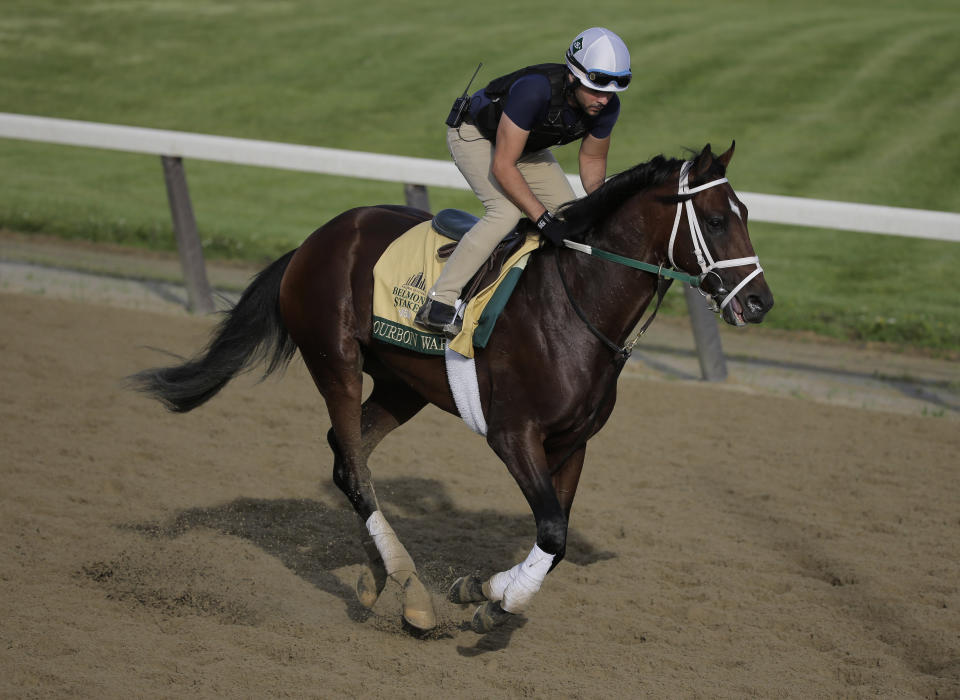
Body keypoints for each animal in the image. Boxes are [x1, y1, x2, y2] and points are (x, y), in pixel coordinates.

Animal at [129, 142, 772, 636]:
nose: (761, 302)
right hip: (335, 361)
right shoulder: (513, 435)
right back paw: (411, 594)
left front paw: (487, 592)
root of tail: (315, 240)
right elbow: (552, 531)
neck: (576, 306)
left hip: (402, 386)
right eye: (717, 219)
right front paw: (492, 598)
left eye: (745, 212)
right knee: (353, 465)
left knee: (347, 458)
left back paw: (384, 575)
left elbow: (556, 539)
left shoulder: (573, 444)